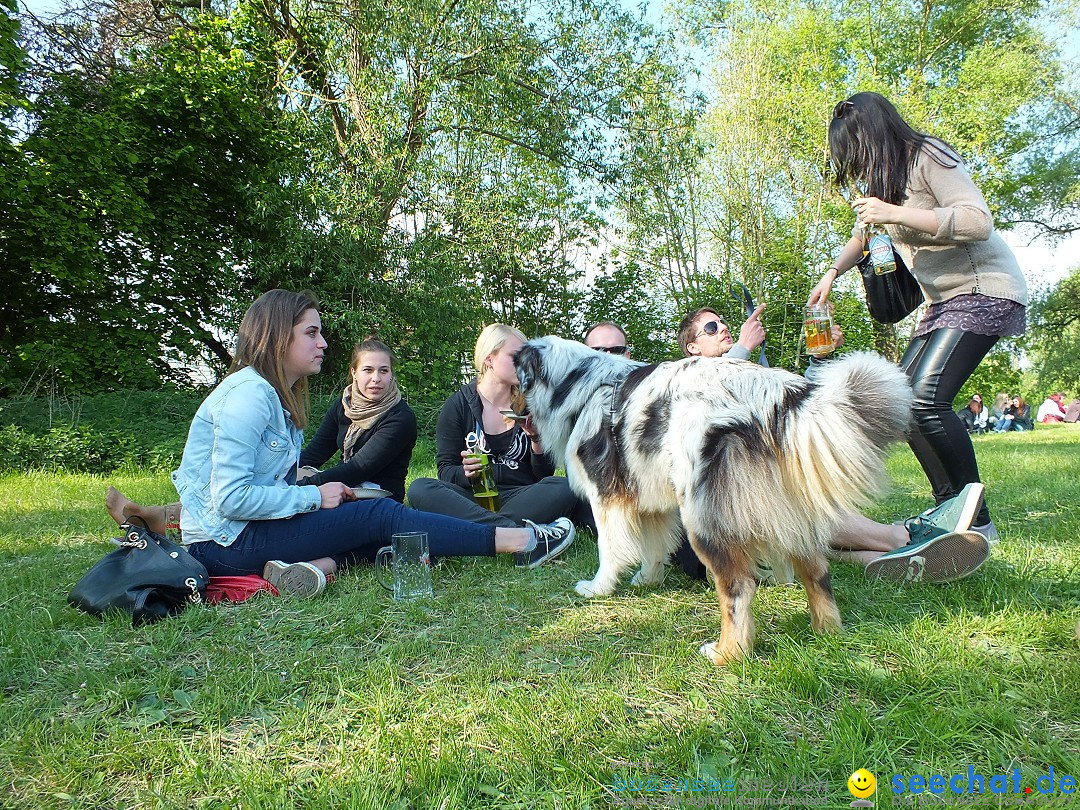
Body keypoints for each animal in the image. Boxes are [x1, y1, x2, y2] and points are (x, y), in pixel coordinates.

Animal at [514, 336, 911, 665]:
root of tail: (776, 394)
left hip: (704, 516)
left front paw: (598, 588)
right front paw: (648, 580)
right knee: (816, 570)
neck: (576, 384)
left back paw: (727, 653)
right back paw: (826, 632)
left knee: (740, 586)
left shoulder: (606, 494)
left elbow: (610, 549)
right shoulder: (651, 499)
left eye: (515, 379)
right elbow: (653, 548)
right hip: (784, 511)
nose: (510, 409)